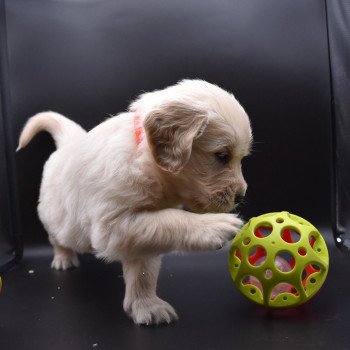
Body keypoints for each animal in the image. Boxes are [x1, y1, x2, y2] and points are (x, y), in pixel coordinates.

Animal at [17, 79, 252, 326]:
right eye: (222, 156)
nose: (241, 196)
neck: (144, 159)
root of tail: (68, 145)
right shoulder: (112, 225)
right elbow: (173, 220)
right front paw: (214, 226)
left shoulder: (141, 235)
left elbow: (143, 271)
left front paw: (147, 305)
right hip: (55, 216)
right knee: (57, 238)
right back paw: (63, 258)